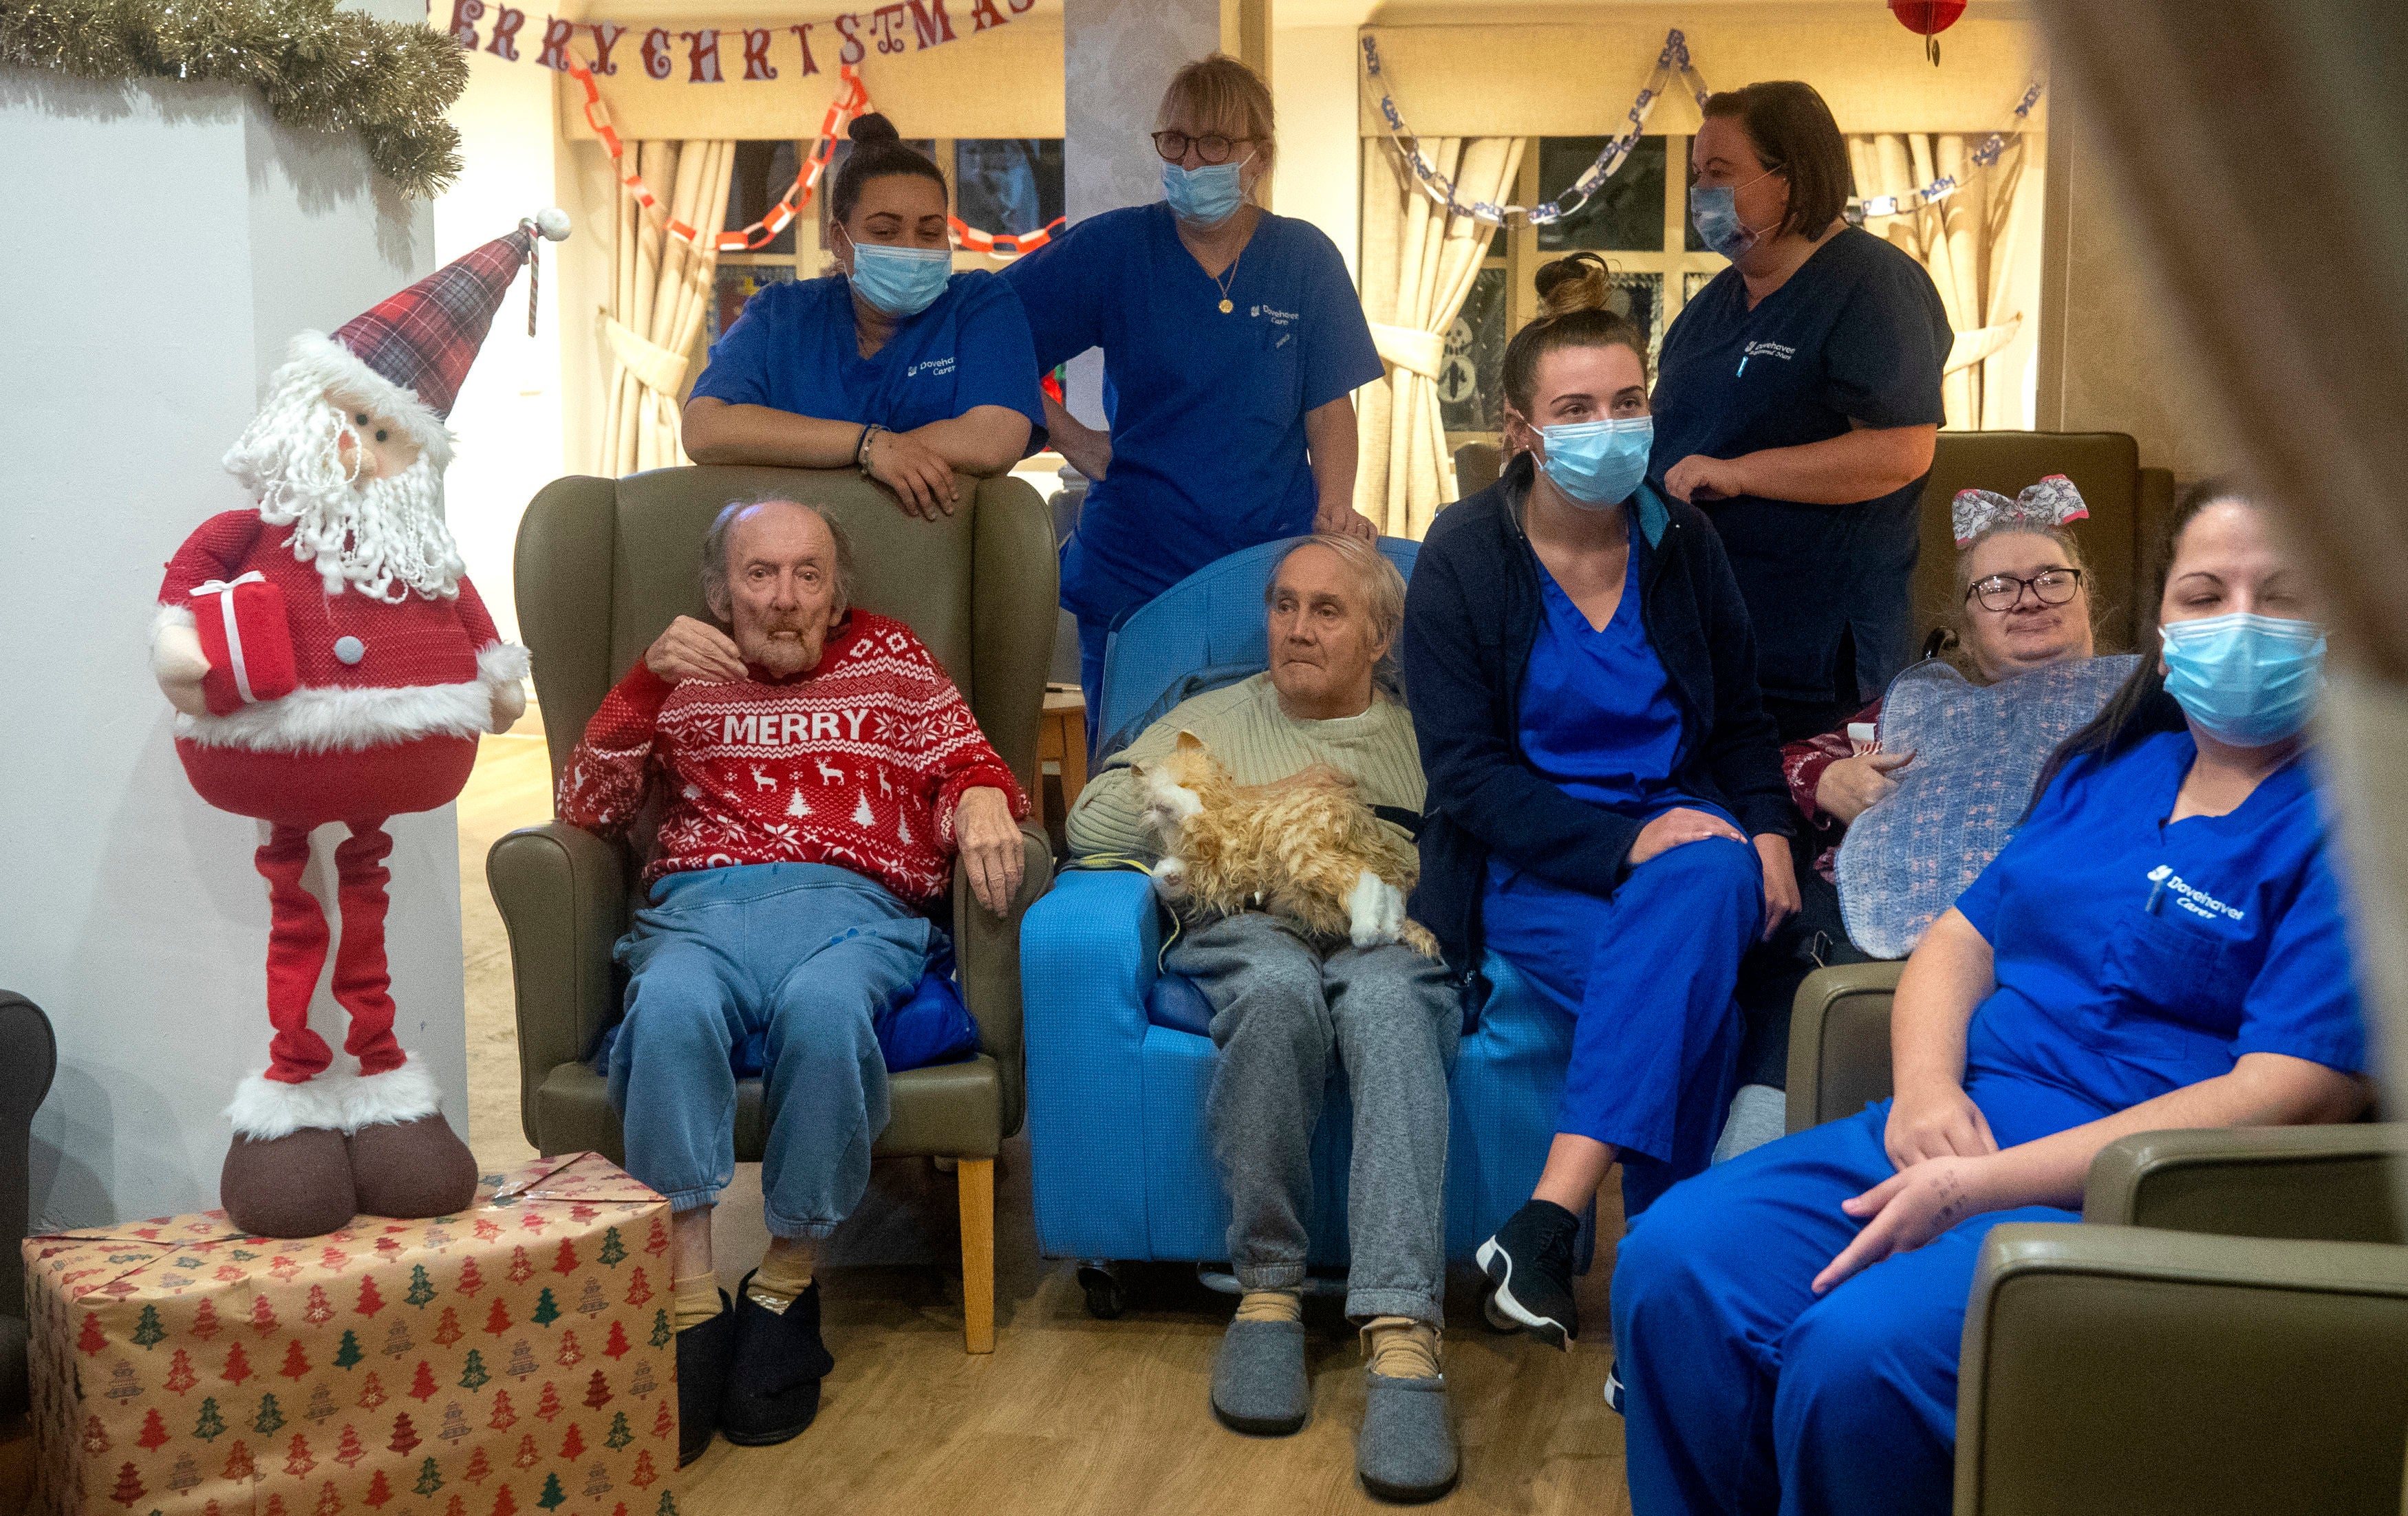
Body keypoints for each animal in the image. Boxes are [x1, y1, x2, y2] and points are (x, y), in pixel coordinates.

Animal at [1127, 731, 1426, 962]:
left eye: (1184, 782)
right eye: (1149, 804)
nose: (1159, 806)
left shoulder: (1224, 834)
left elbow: (1192, 810)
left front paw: (1175, 801)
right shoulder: (1209, 872)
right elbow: (1171, 880)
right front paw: (1168, 872)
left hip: (1301, 848)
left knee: (1363, 878)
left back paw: (1365, 930)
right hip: (1311, 896)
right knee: (1387, 892)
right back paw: (1387, 928)